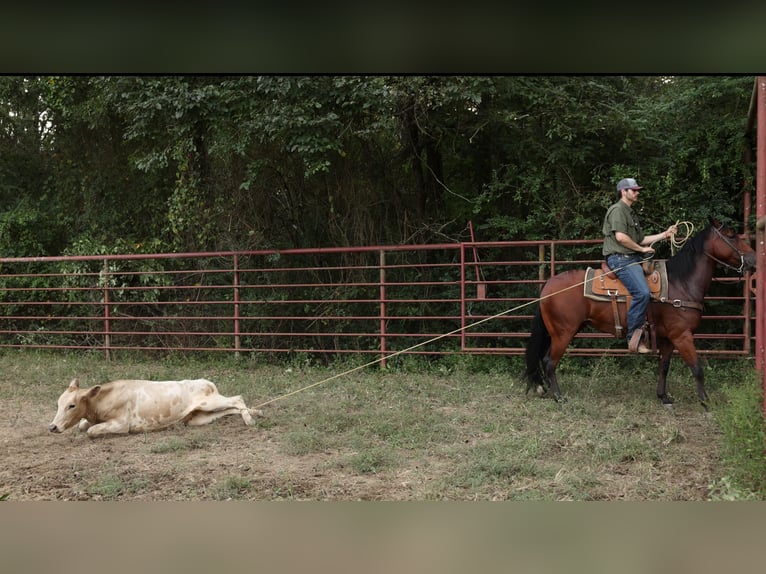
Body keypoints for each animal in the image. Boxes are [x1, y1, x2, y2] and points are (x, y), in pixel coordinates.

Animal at [524, 218, 756, 409]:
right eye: (731, 235)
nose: (754, 260)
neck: (680, 283)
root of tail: (548, 285)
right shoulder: (682, 335)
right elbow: (697, 368)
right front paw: (706, 402)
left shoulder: (668, 338)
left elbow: (664, 367)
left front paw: (664, 397)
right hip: (563, 333)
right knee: (549, 362)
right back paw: (559, 397)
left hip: (557, 332)